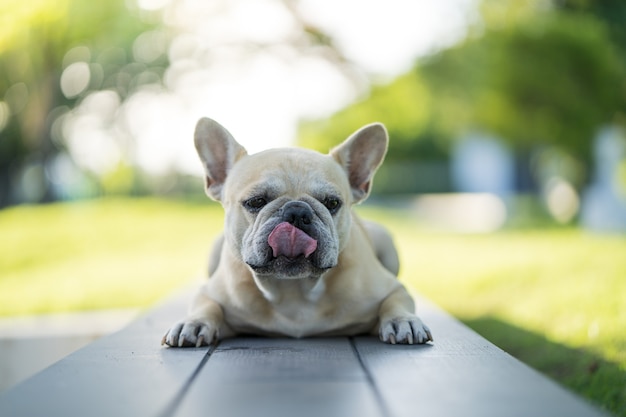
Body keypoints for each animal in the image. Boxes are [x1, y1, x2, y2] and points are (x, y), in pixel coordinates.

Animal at [163, 117, 432, 344]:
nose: (297, 212)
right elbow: (206, 305)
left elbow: (396, 301)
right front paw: (194, 323)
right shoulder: (210, 293)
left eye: (332, 203)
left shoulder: (393, 288)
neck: (293, 290)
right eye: (255, 201)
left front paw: (403, 321)